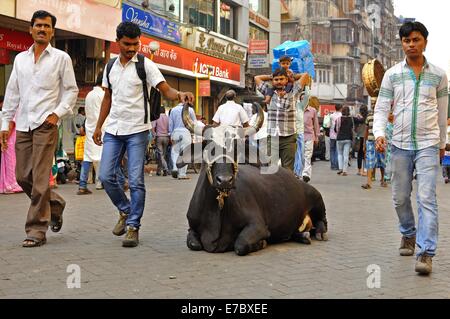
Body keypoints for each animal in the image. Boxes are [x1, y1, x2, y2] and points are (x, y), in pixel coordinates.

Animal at [181, 105, 328, 258]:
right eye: (208, 146)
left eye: (237, 147)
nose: (225, 180)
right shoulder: (191, 227)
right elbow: (193, 243)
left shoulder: (258, 226)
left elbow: (241, 244)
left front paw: (261, 243)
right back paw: (302, 235)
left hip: (316, 197)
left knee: (322, 221)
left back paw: (319, 233)